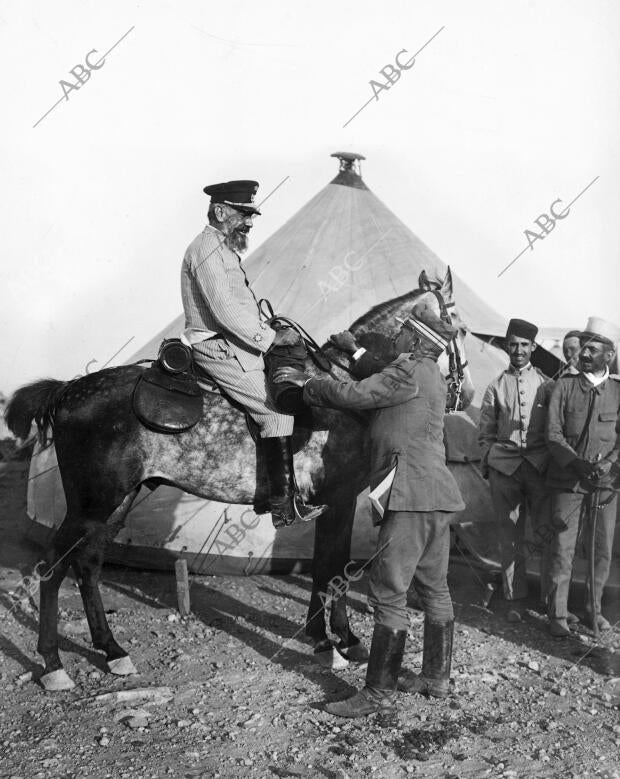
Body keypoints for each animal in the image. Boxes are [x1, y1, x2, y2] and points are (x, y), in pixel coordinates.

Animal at [4, 268, 472, 688]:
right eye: (464, 328)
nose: (463, 393)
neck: (346, 383)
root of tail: (67, 391)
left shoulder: (329, 503)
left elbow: (325, 566)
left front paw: (329, 638)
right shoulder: (340, 498)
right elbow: (333, 566)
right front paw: (340, 641)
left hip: (117, 503)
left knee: (86, 565)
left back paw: (112, 651)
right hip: (91, 505)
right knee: (52, 566)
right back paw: (53, 664)